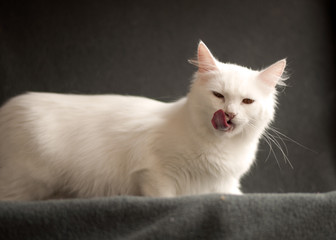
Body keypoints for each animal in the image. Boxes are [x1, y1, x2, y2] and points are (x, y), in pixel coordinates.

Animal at [0, 41, 286, 201]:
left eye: (247, 101)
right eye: (219, 96)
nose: (229, 114)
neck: (221, 147)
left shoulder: (225, 185)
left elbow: (234, 195)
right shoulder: (156, 174)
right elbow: (165, 199)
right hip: (26, 180)